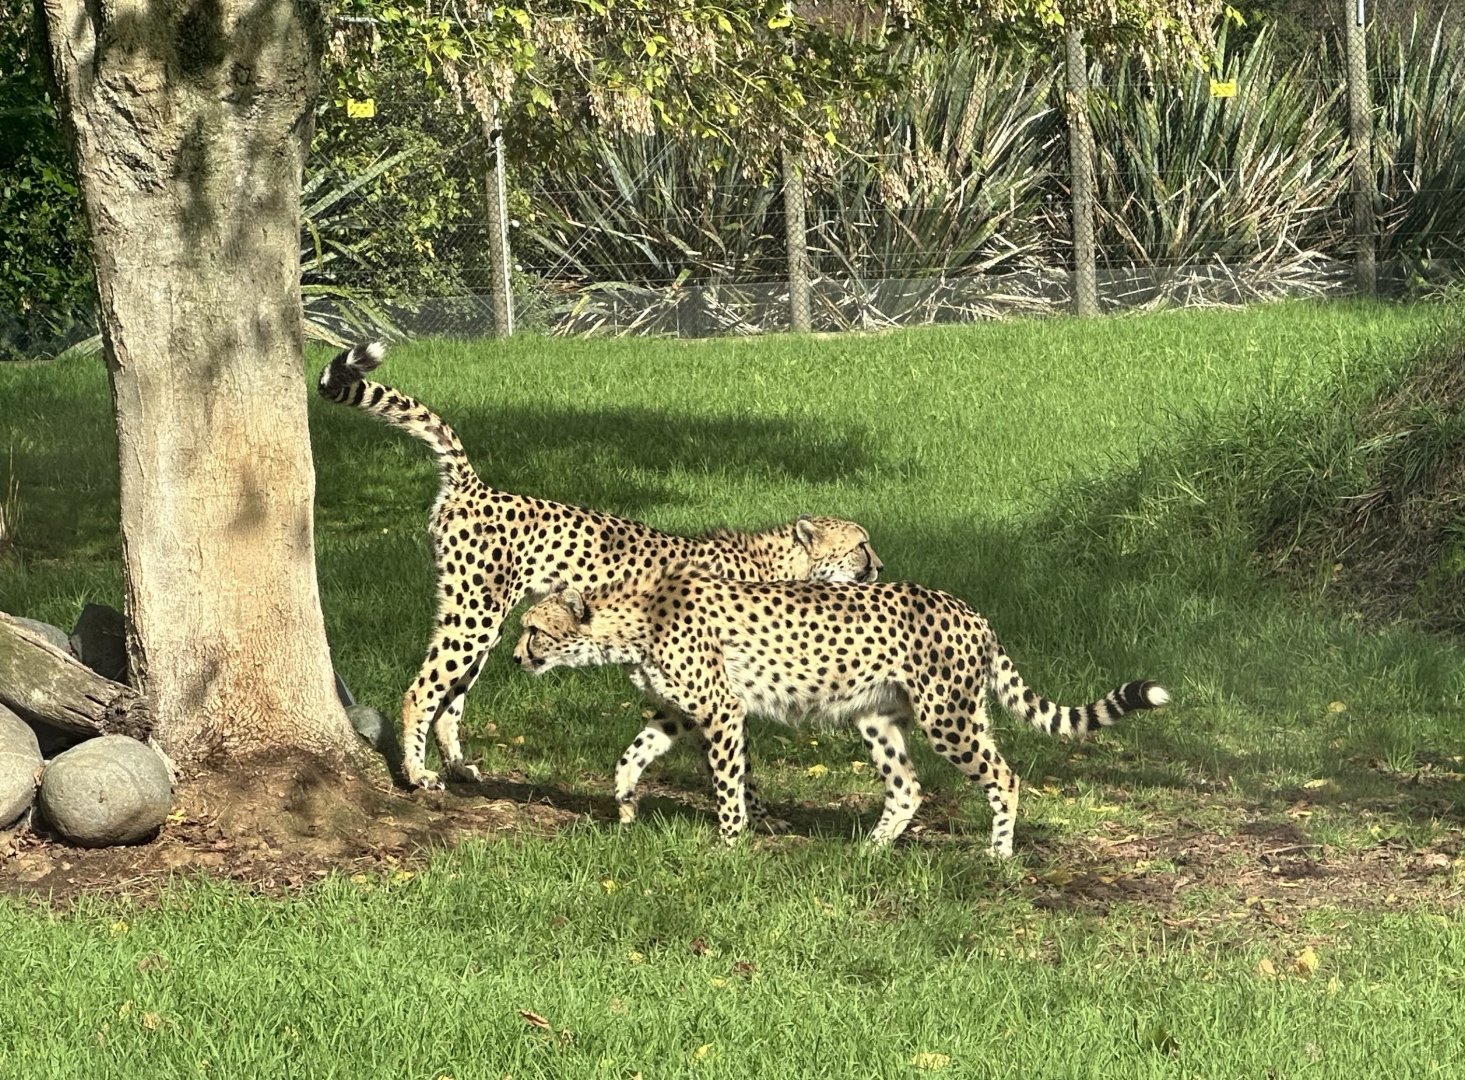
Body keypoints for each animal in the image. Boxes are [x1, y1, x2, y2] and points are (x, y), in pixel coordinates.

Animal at [317, 343, 883, 790]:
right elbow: (726, 751)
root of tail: (478, 487)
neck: (778, 564)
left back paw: (459, 768)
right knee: (421, 691)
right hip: (474, 614)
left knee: (451, 700)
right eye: (861, 545)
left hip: (488, 621)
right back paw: (418, 774)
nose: (879, 566)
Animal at [511, 562, 1169, 856]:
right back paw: (870, 851)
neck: (632, 618)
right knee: (907, 787)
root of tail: (969, 608)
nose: (514, 657)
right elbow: (631, 755)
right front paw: (624, 808)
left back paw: (999, 854)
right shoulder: (678, 711)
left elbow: (727, 783)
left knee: (1003, 776)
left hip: (949, 717)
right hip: (878, 719)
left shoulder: (722, 711)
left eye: (533, 630)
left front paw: (730, 844)